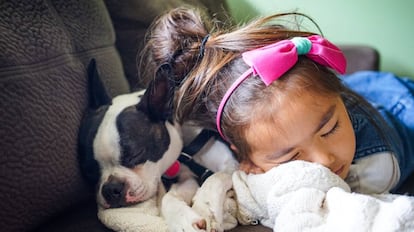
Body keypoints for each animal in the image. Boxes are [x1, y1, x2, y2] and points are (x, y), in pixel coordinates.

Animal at [79, 60, 238, 232]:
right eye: (89, 171)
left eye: (135, 154)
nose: (110, 189)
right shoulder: (186, 177)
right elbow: (167, 197)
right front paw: (182, 220)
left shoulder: (233, 164)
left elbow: (216, 177)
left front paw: (206, 208)